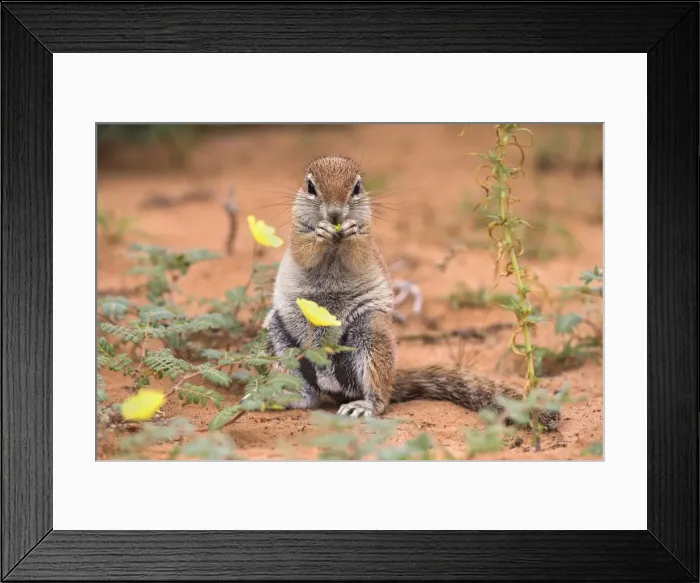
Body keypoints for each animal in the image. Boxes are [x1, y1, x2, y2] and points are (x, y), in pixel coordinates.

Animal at [263, 155, 560, 431]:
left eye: (357, 187)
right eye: (310, 187)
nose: (335, 215)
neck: (334, 245)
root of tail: (329, 380)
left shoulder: (369, 239)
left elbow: (359, 252)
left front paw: (350, 231)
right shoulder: (296, 233)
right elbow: (304, 250)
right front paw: (321, 232)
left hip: (371, 333)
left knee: (380, 397)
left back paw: (364, 405)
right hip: (277, 336)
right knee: (309, 395)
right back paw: (283, 399)